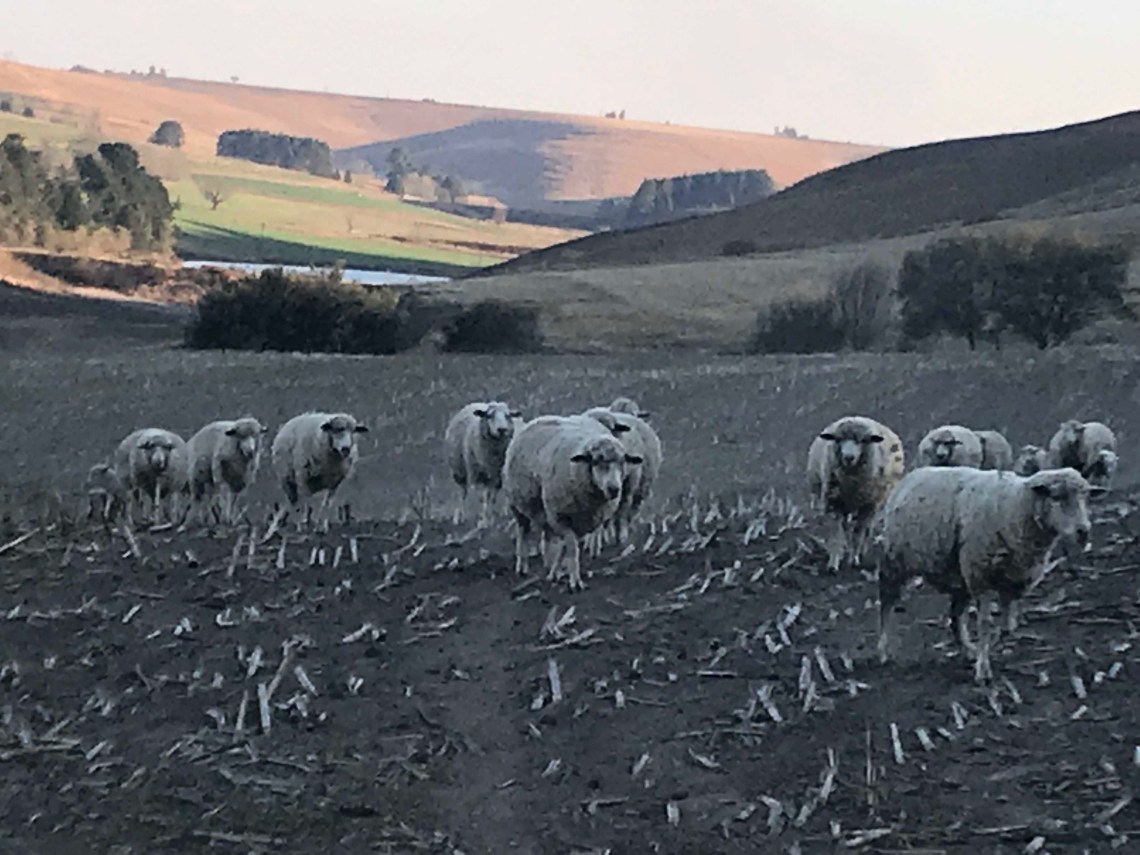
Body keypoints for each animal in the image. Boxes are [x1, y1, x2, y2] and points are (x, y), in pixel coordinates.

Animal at [503, 415, 642, 591]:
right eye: (595, 461)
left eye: (622, 462)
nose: (614, 489)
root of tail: (541, 418)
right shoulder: (561, 515)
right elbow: (571, 548)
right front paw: (575, 581)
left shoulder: (578, 521)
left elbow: (566, 548)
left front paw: (556, 574)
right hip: (518, 504)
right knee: (523, 532)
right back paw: (522, 566)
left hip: (545, 510)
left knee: (547, 534)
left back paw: (548, 565)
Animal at [806, 415, 905, 572]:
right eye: (838, 439)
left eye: (863, 440)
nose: (848, 457)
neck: (851, 482)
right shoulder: (834, 501)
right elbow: (836, 533)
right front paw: (833, 563)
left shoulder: (868, 505)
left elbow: (858, 533)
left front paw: (854, 559)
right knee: (846, 528)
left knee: (866, 529)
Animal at [876, 466, 1101, 684]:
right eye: (1056, 497)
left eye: (1085, 497)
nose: (1083, 531)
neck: (1017, 506)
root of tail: (913, 474)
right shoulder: (981, 578)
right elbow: (985, 624)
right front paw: (983, 668)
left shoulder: (1013, 582)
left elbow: (1008, 627)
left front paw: (986, 649)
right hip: (895, 561)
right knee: (887, 603)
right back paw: (883, 651)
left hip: (960, 575)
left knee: (955, 615)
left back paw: (967, 649)